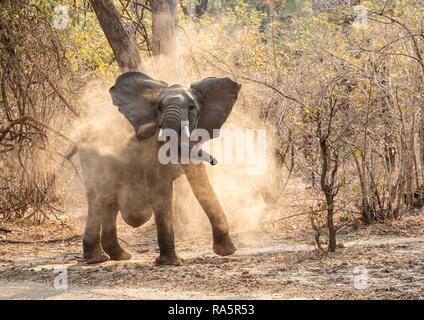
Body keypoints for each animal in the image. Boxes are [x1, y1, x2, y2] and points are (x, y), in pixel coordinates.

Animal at [77, 72, 240, 264]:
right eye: (159, 107)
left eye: (191, 107)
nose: (215, 161)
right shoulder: (151, 144)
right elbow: (161, 189)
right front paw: (170, 263)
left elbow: (200, 182)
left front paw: (227, 251)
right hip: (93, 156)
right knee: (99, 197)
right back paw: (99, 258)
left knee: (108, 199)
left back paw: (119, 256)